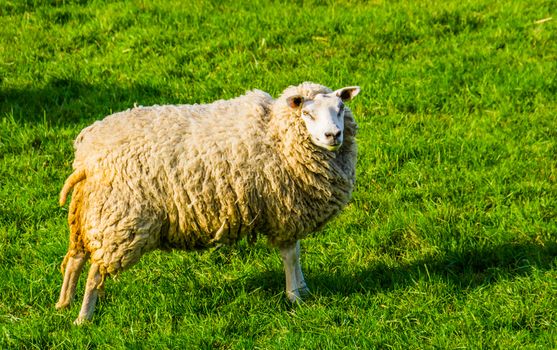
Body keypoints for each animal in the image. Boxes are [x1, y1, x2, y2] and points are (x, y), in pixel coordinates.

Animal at [55, 81, 360, 322]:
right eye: (307, 113)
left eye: (340, 108)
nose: (334, 135)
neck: (276, 133)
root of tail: (88, 154)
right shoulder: (285, 211)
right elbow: (291, 255)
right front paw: (295, 295)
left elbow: (294, 254)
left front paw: (303, 290)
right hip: (120, 219)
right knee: (96, 272)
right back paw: (84, 318)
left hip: (90, 212)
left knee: (76, 258)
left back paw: (63, 304)